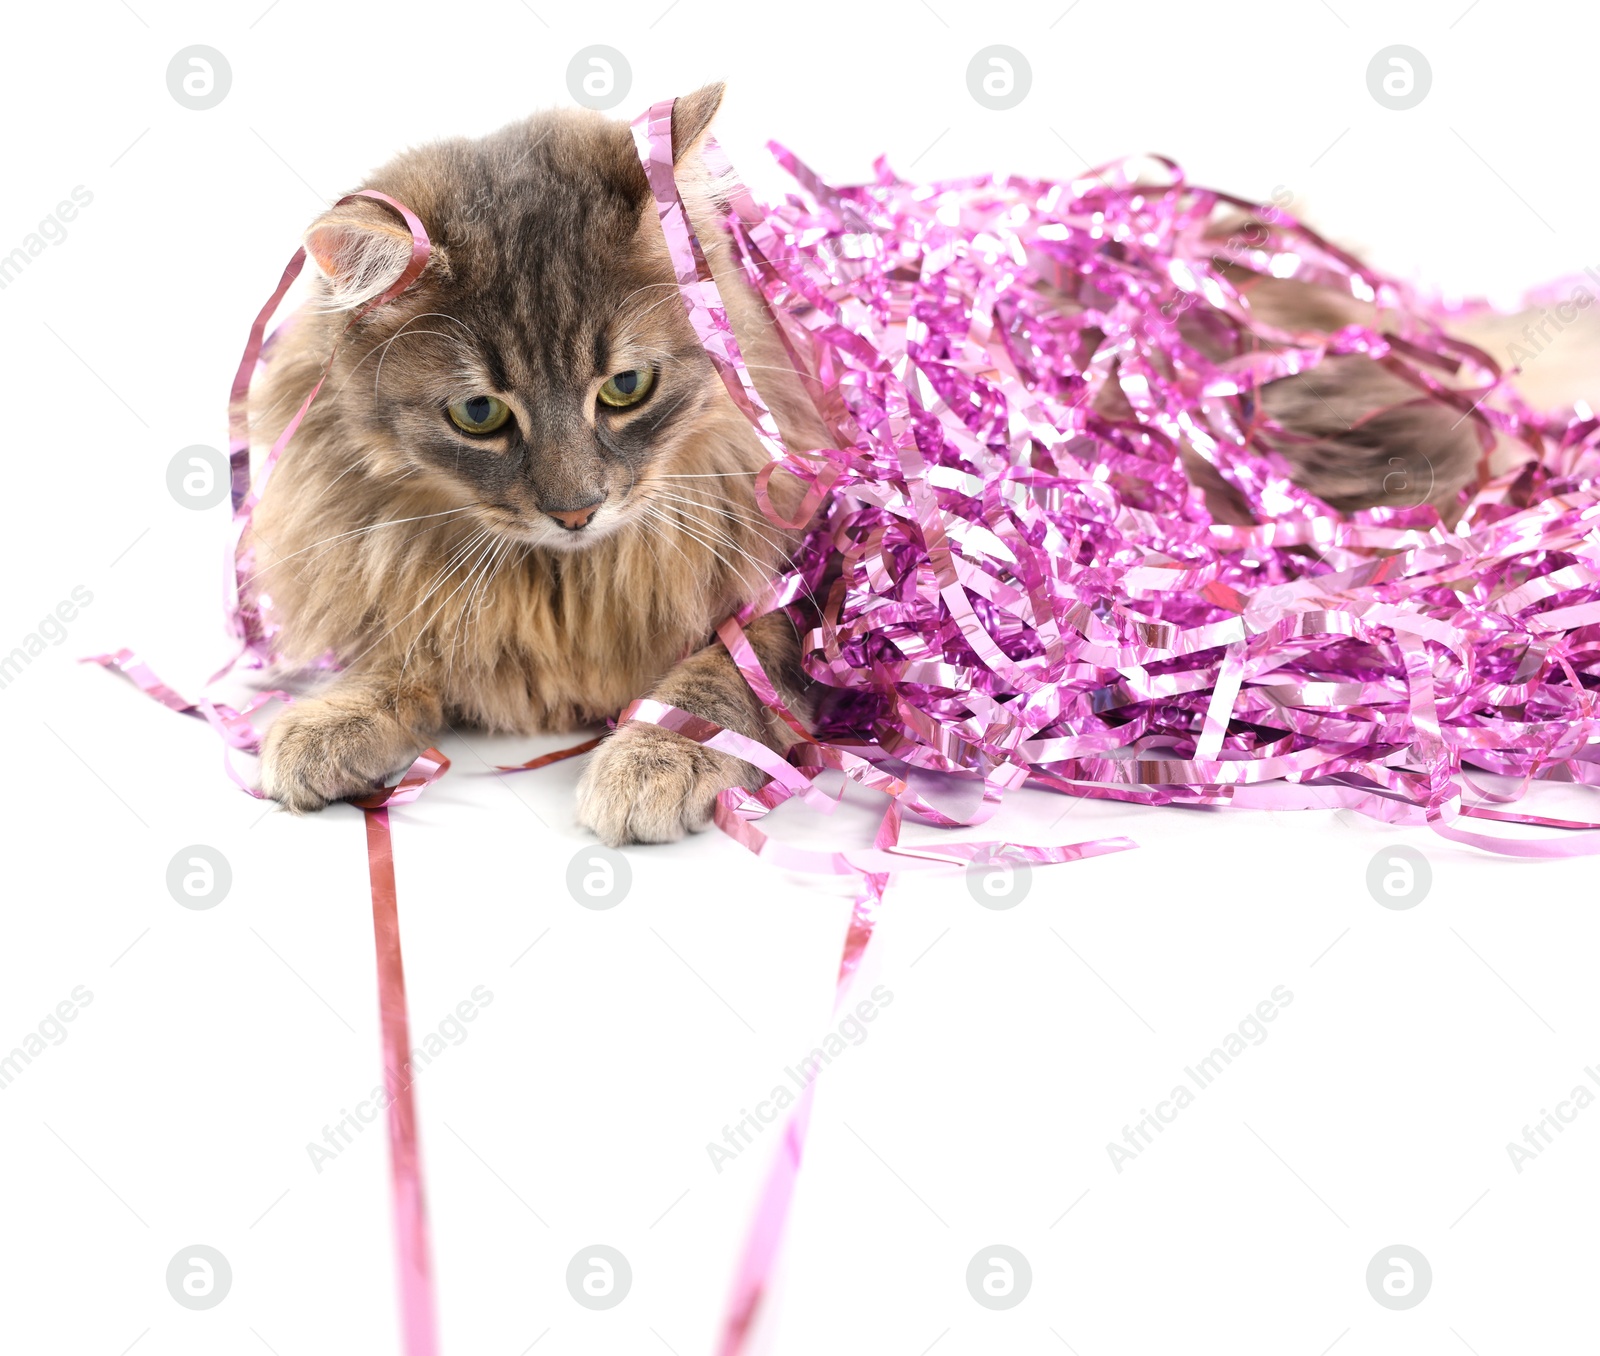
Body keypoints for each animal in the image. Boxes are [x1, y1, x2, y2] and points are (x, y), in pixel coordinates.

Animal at [249, 81, 1548, 837]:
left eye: (625, 389)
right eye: (481, 415)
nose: (576, 509)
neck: (562, 581)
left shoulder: (805, 587)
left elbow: (710, 685)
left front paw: (648, 762)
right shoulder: (409, 586)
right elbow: (392, 660)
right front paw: (323, 728)